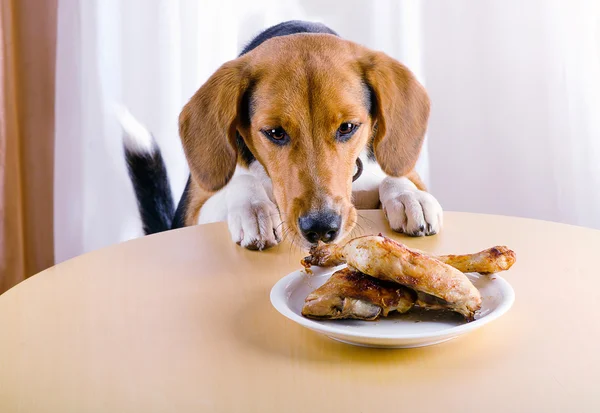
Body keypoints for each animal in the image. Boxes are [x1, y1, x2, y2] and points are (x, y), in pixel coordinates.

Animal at [120, 20, 440, 248]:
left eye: (347, 127)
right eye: (274, 132)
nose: (321, 228)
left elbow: (396, 177)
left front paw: (409, 197)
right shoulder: (191, 213)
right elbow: (242, 182)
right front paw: (254, 209)